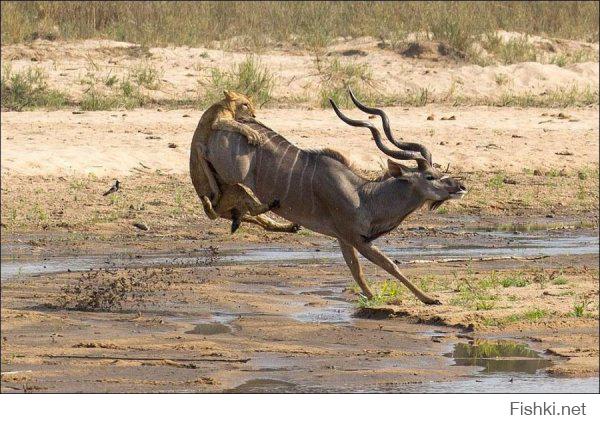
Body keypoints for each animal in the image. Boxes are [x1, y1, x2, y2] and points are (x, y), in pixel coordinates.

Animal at [204, 89, 466, 304]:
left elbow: (356, 270)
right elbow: (389, 264)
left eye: (439, 171)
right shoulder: (356, 237)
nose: (460, 186)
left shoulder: (343, 238)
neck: (364, 196)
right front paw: (429, 299)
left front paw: (372, 298)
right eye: (430, 176)